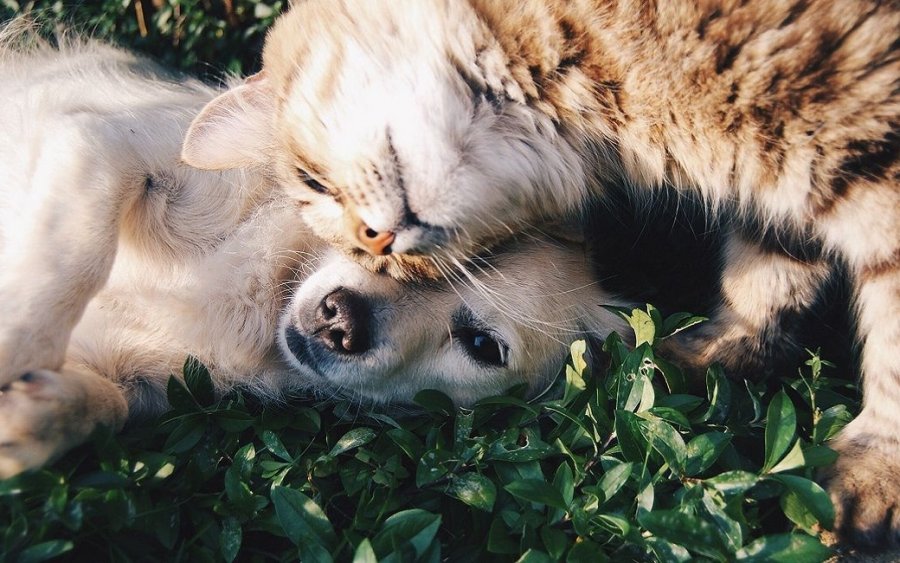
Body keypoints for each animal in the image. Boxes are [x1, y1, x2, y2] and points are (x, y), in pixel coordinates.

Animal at [183, 0, 900, 548]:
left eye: (312, 182)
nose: (376, 245)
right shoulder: (781, 189)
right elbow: (769, 273)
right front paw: (716, 354)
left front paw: (874, 476)